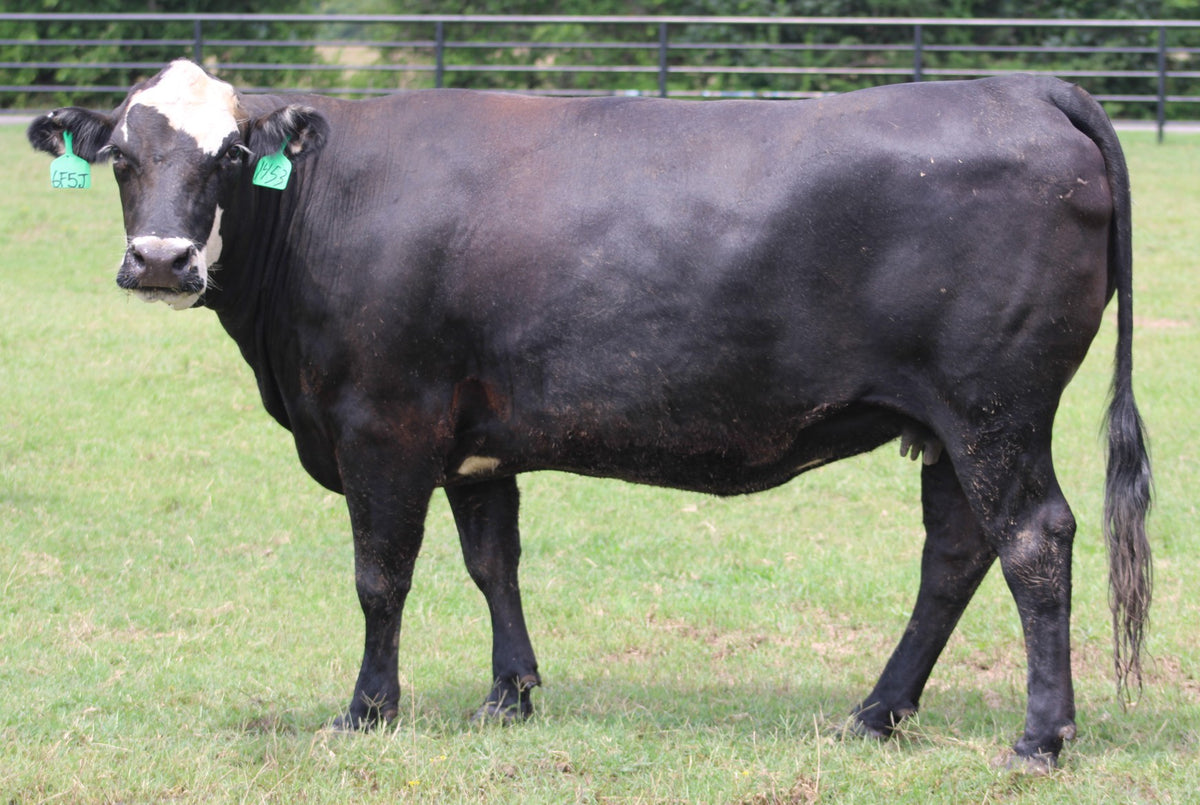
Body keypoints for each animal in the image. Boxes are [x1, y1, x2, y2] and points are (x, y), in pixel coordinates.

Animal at [28, 59, 1151, 767]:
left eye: (225, 158)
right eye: (123, 156)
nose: (161, 259)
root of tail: (1025, 87)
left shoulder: (384, 425)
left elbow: (380, 577)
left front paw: (367, 710)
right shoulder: (474, 439)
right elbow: (493, 563)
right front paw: (508, 695)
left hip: (994, 409)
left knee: (1034, 538)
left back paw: (1039, 737)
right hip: (951, 427)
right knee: (955, 555)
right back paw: (875, 714)